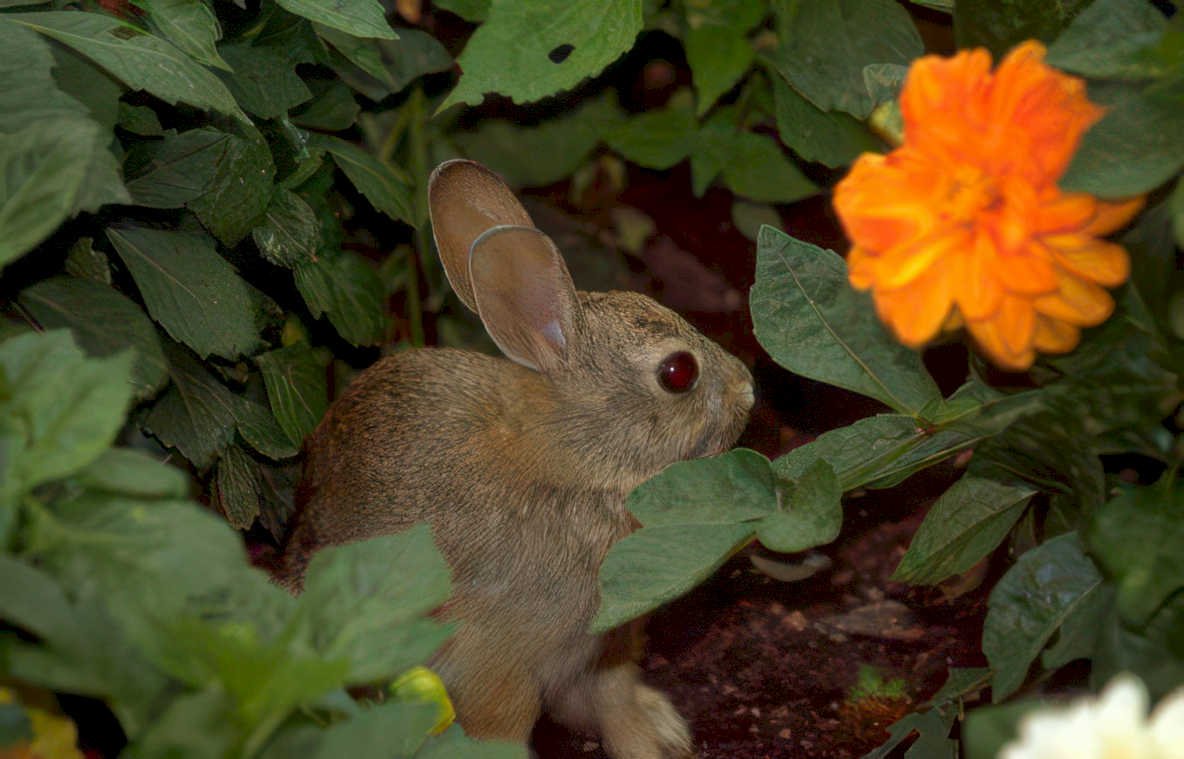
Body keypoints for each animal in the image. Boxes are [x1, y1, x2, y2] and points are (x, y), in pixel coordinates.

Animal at [276, 160, 755, 759]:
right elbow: (506, 723)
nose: (748, 388)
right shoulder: (491, 660)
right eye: (678, 373)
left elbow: (615, 699)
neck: (576, 464)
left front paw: (653, 740)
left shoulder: (606, 647)